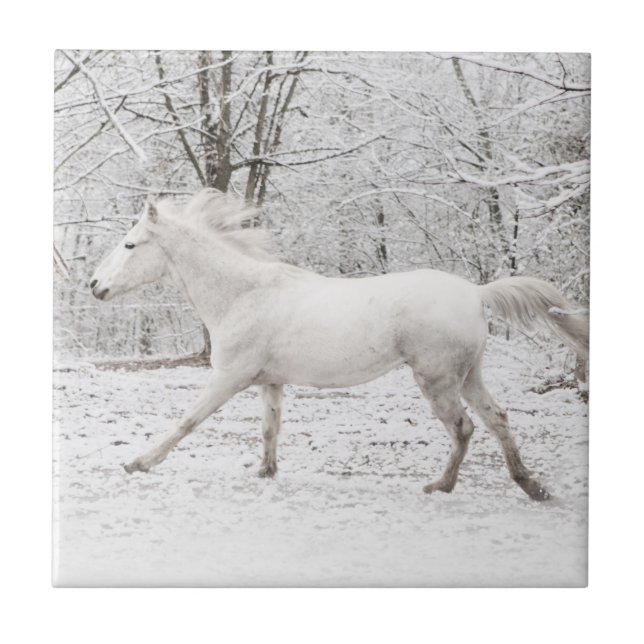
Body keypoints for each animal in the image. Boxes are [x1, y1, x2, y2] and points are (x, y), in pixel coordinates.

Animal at [90, 189, 589, 501]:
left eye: (130, 244)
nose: (94, 286)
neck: (243, 294)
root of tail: (476, 292)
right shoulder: (269, 382)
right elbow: (270, 429)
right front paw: (264, 472)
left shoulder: (228, 377)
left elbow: (187, 421)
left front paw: (139, 463)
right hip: (469, 376)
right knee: (498, 419)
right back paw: (530, 486)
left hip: (437, 380)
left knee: (463, 429)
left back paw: (441, 487)